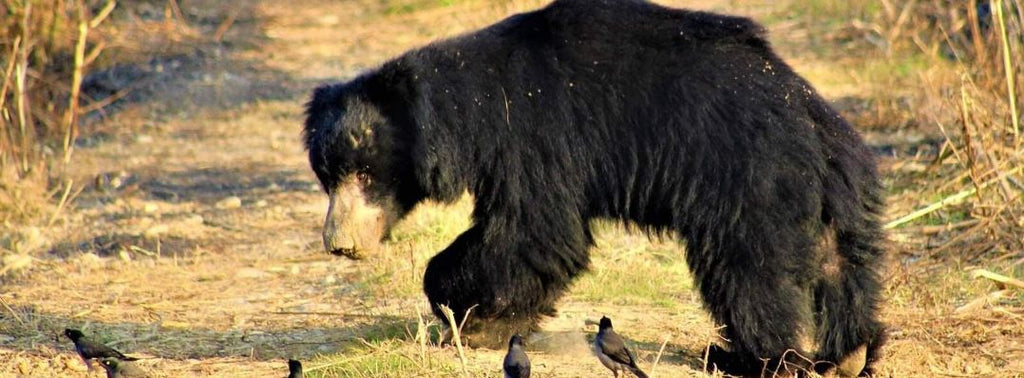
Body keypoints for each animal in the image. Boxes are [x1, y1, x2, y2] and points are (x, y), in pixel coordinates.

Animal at [299, 0, 884, 374]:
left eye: (367, 175)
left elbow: (533, 232)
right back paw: (848, 354)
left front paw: (464, 313)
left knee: (750, 272)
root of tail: (808, 113)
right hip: (837, 190)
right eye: (328, 176)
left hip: (746, 176)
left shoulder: (536, 136)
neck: (473, 108)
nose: (340, 244)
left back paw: (750, 358)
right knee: (841, 264)